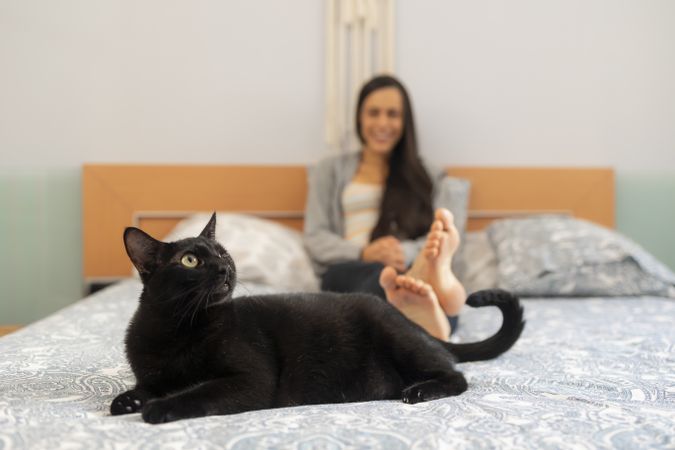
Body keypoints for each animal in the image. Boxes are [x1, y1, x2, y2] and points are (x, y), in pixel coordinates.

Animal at [111, 213, 524, 424]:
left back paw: (419, 390)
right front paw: (127, 400)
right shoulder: (153, 372)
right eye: (191, 260)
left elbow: (198, 392)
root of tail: (411, 322)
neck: (177, 327)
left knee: (455, 375)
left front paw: (157, 408)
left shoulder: (251, 379)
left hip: (398, 339)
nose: (224, 267)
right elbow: (149, 385)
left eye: (222, 252)